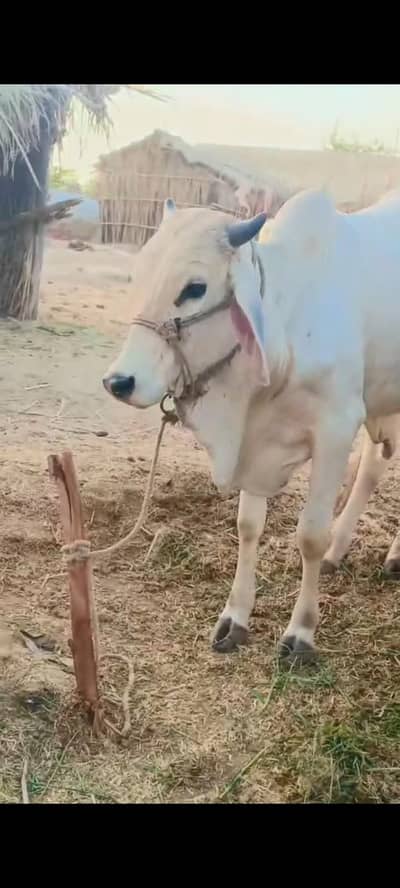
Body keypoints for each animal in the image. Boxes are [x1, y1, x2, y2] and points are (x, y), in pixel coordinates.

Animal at [103, 189, 400, 662]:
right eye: (139, 274)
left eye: (195, 288)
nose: (119, 382)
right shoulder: (255, 442)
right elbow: (248, 527)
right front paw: (235, 618)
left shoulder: (336, 429)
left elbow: (309, 535)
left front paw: (301, 633)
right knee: (374, 466)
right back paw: (340, 551)